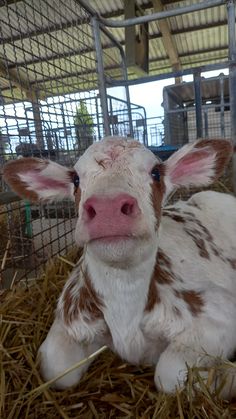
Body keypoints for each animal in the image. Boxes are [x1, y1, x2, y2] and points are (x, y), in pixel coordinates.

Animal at [4, 137, 236, 398]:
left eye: (156, 172)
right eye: (76, 179)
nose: (108, 208)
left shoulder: (218, 314)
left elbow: (169, 374)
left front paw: (225, 377)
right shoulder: (69, 320)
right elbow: (57, 370)